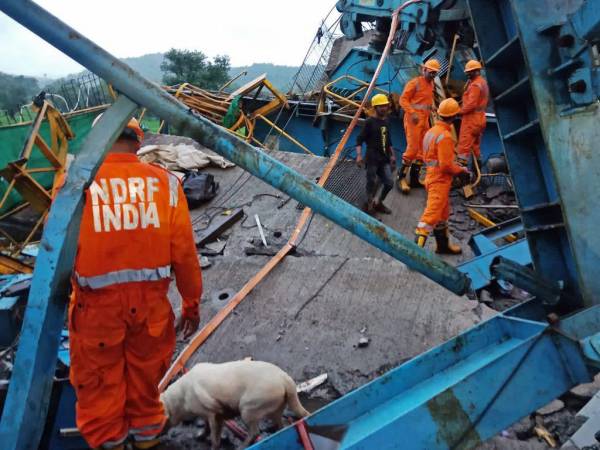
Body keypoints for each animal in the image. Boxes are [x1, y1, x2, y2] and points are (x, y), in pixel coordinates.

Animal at [159, 360, 310, 448]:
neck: (180, 398)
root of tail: (285, 378)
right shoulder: (210, 415)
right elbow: (206, 427)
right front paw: (201, 435)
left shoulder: (213, 414)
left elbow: (214, 437)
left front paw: (212, 444)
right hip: (275, 408)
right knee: (281, 425)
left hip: (248, 408)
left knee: (255, 432)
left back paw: (243, 446)